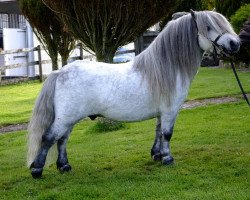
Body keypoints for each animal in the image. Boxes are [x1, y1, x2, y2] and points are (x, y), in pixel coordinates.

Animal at [27, 10, 240, 178]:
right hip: (65, 118)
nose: (235, 43)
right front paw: (168, 159)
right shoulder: (170, 111)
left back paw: (64, 166)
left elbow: (158, 132)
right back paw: (37, 169)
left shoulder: (162, 112)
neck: (167, 67)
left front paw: (157, 155)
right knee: (49, 138)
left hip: (69, 119)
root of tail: (60, 72)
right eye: (208, 27)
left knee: (62, 140)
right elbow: (167, 134)